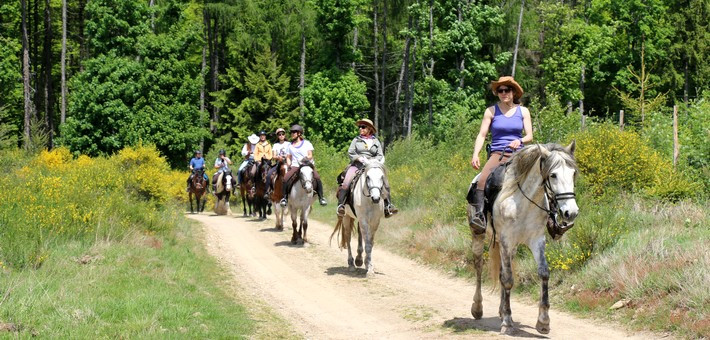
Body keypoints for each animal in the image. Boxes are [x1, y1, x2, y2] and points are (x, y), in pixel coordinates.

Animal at [470, 141, 580, 334]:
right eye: (553, 175)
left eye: (573, 173)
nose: (571, 212)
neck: (524, 202)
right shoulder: (506, 240)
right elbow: (508, 280)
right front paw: (507, 322)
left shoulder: (536, 240)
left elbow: (543, 273)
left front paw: (543, 322)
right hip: (481, 236)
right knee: (479, 266)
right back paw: (478, 308)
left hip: (510, 247)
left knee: (501, 272)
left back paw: (501, 311)